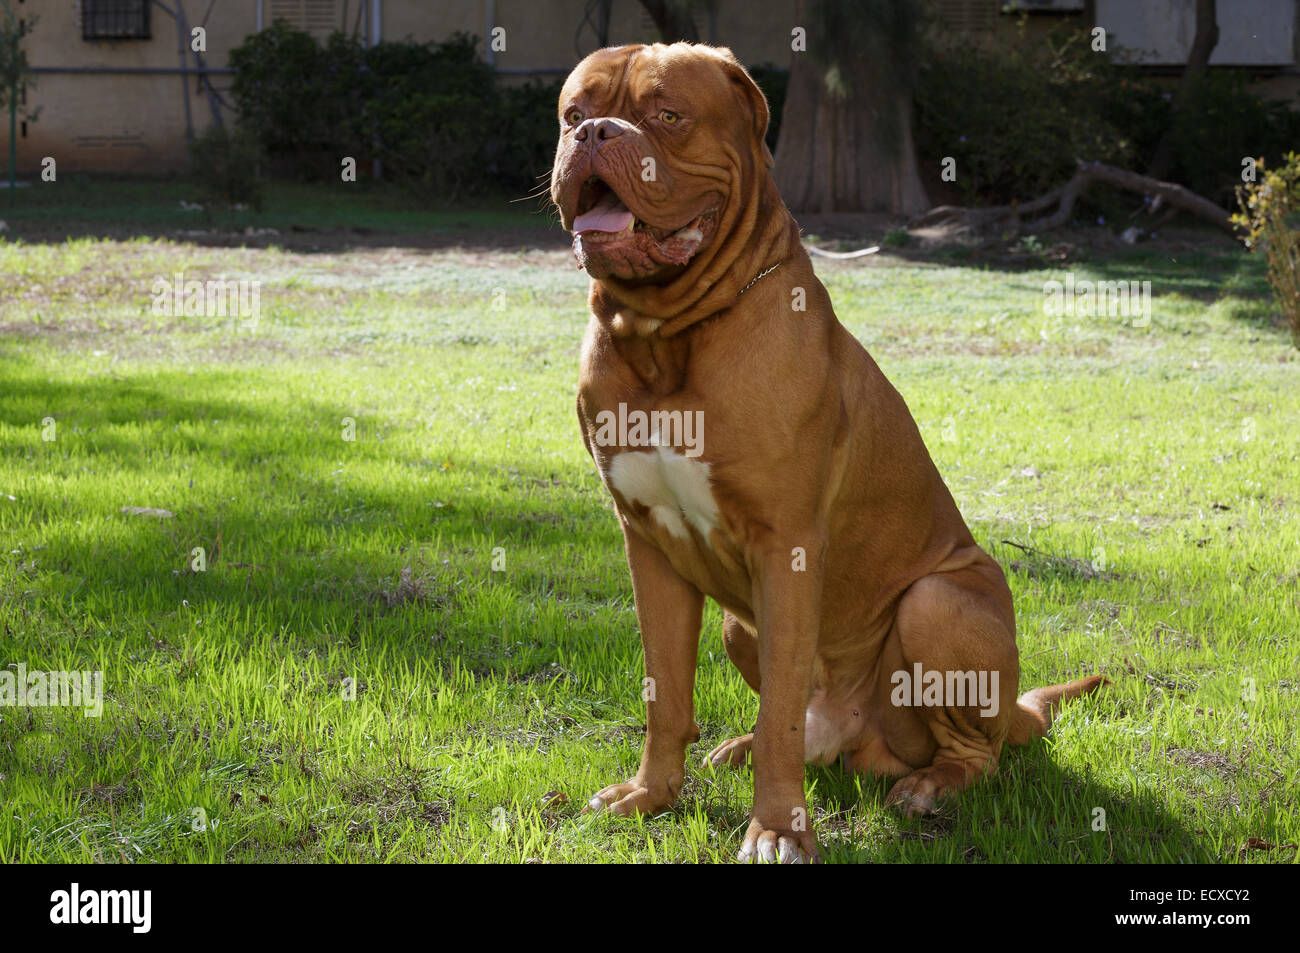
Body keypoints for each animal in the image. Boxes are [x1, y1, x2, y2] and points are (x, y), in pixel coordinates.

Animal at [551, 44, 1107, 863]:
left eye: (668, 115)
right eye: (573, 113)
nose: (594, 134)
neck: (664, 333)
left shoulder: (785, 547)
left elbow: (781, 711)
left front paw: (778, 828)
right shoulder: (648, 543)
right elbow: (665, 692)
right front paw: (650, 795)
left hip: (937, 604)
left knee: (973, 750)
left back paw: (931, 785)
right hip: (739, 623)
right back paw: (741, 749)